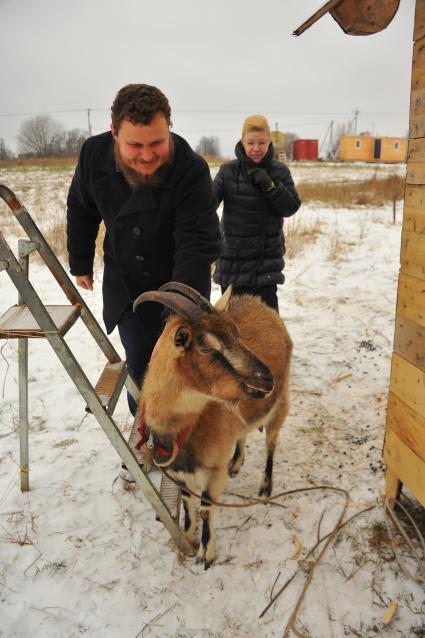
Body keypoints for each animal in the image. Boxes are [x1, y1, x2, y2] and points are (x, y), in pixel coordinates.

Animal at [135, 282, 292, 568]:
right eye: (206, 347)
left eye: (236, 332)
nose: (266, 378)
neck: (185, 428)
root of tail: (259, 302)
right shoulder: (179, 473)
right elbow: (188, 502)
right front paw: (188, 537)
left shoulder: (213, 469)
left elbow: (207, 508)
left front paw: (205, 555)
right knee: (243, 432)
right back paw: (237, 462)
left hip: (281, 401)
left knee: (271, 442)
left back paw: (266, 486)